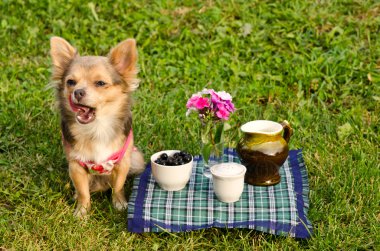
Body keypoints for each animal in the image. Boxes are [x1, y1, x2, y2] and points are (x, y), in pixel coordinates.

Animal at [49, 36, 145, 217]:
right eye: (70, 82)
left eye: (100, 83)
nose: (78, 92)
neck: (96, 128)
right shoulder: (76, 166)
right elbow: (83, 192)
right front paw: (82, 212)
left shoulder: (122, 164)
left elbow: (118, 186)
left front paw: (119, 204)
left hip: (137, 158)